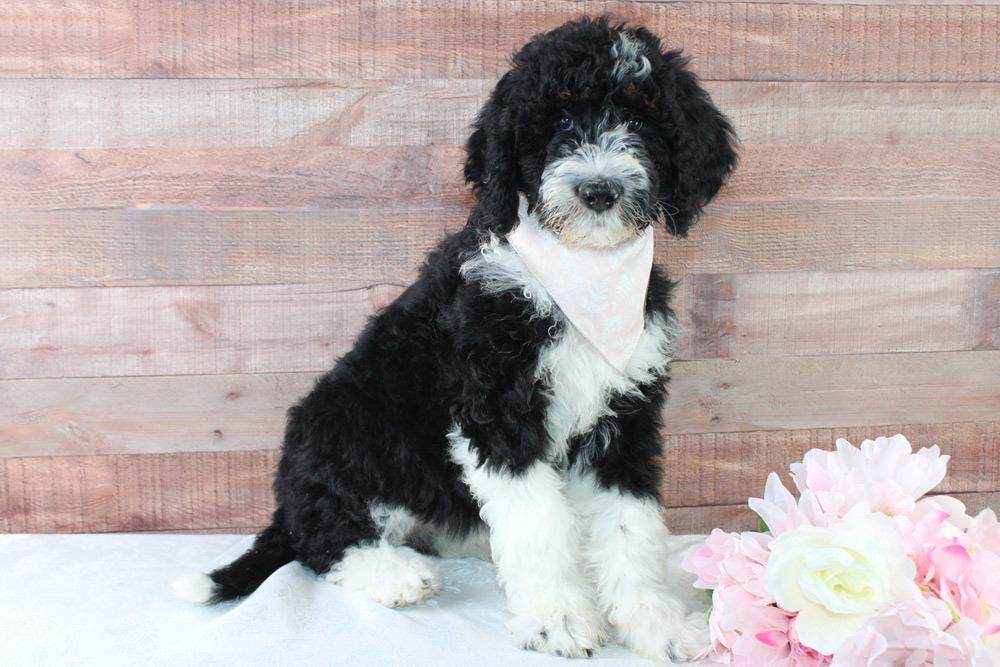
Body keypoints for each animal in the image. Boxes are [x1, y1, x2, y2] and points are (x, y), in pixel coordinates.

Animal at [175, 16, 737, 662]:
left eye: (642, 122)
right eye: (560, 122)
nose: (598, 192)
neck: (582, 277)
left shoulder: (624, 416)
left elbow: (631, 524)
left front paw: (656, 623)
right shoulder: (496, 412)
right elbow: (539, 523)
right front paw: (559, 620)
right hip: (348, 419)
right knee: (323, 536)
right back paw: (392, 572)